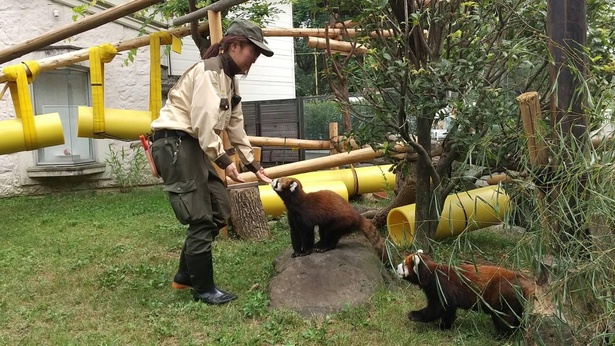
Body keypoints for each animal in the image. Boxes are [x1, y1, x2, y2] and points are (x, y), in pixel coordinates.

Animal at [400, 250, 536, 336]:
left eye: (403, 265)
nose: (396, 267)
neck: (431, 273)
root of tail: (520, 278)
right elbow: (449, 311)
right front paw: (445, 326)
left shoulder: (442, 286)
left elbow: (438, 308)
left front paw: (414, 315)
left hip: (502, 295)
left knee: (502, 318)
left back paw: (502, 335)